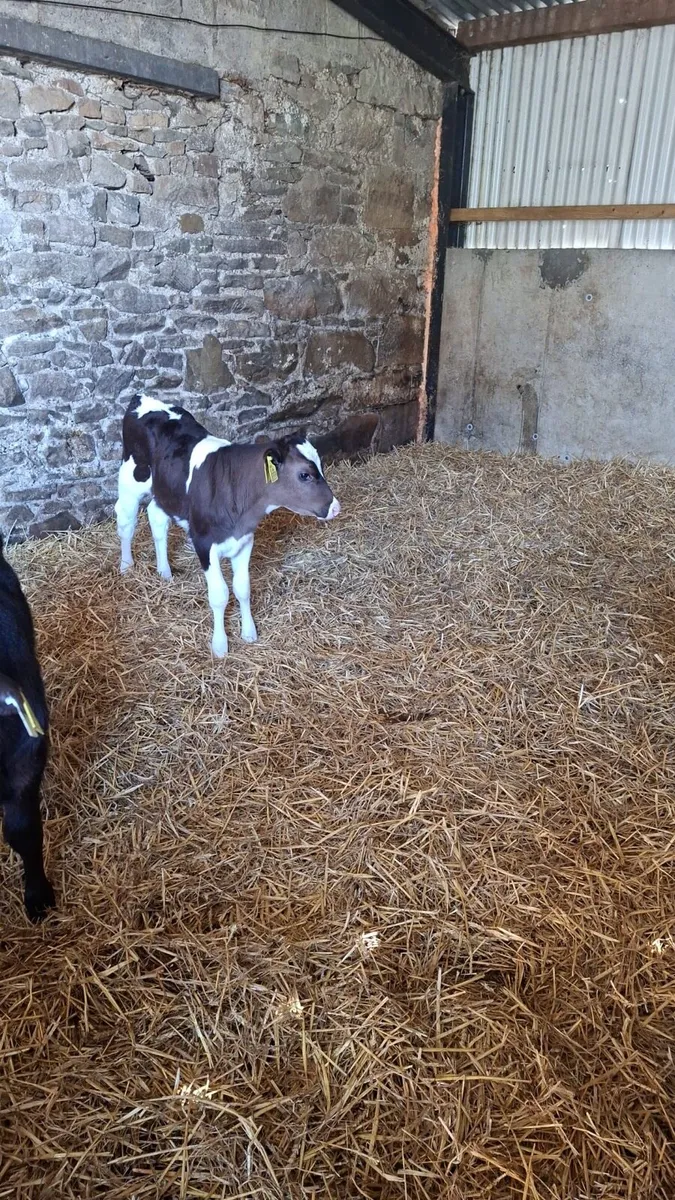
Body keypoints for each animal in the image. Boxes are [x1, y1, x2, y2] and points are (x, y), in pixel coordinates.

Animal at [115, 394, 341, 657]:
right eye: (305, 475)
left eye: (321, 467)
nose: (335, 507)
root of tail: (142, 397)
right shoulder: (204, 543)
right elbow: (220, 595)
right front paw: (220, 645)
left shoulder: (244, 540)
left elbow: (243, 588)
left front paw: (249, 633)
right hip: (131, 478)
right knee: (126, 521)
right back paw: (126, 566)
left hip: (164, 490)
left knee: (156, 518)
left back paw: (164, 572)